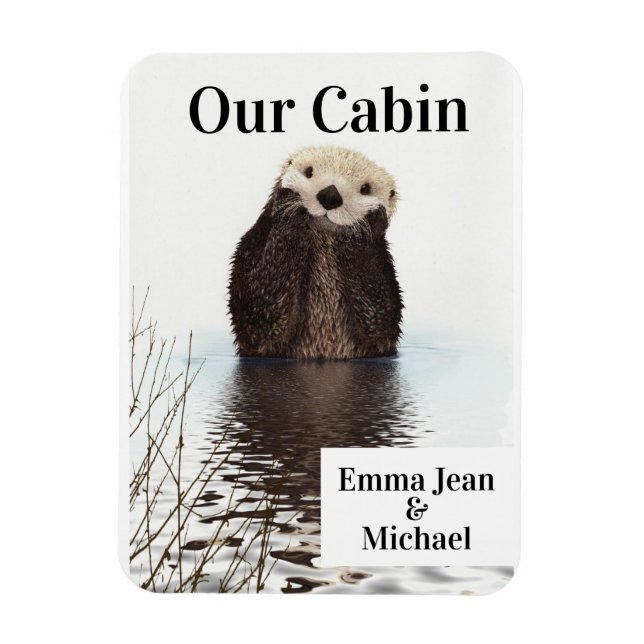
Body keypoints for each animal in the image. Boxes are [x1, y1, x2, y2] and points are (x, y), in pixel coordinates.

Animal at [228, 145, 403, 359]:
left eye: (365, 189)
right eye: (309, 171)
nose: (330, 195)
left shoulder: (384, 271)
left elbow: (380, 318)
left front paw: (365, 225)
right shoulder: (251, 246)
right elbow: (258, 312)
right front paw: (289, 207)